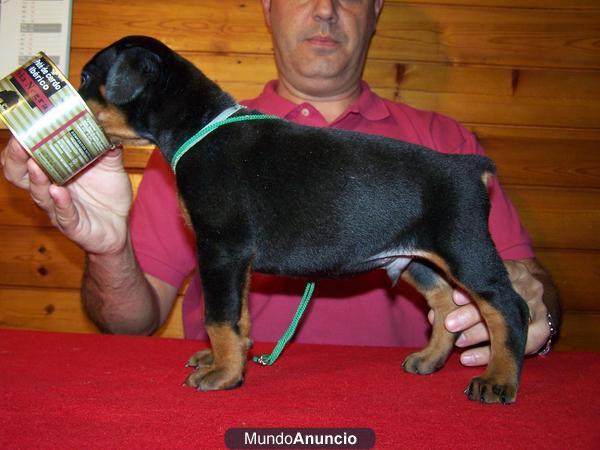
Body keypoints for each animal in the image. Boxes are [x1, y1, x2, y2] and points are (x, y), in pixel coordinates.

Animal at [78, 34, 528, 400]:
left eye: (86, 76)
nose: (65, 98)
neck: (198, 127)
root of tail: (468, 166)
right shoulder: (237, 258)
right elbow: (238, 314)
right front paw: (231, 358)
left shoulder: (221, 249)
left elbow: (219, 316)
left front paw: (223, 374)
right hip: (416, 257)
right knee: (445, 302)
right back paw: (429, 359)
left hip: (463, 246)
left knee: (508, 305)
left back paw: (498, 380)